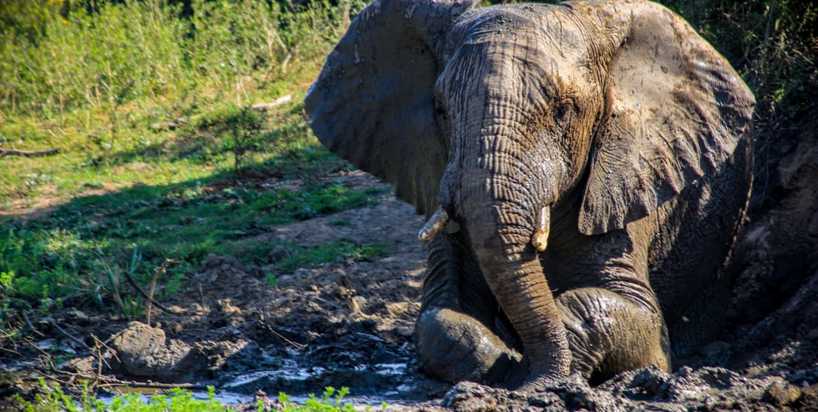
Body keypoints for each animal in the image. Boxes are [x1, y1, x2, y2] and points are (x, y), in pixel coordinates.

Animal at [305, 0, 755, 392]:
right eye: (441, 110)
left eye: (563, 111)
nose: (531, 374)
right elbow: (440, 316)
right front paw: (502, 362)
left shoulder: (628, 181)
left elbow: (644, 326)